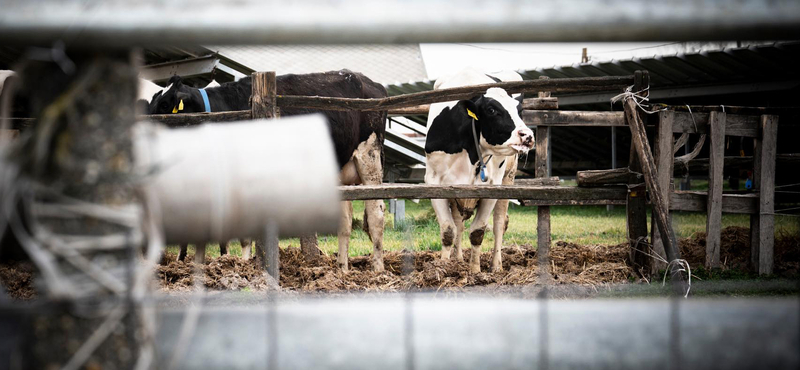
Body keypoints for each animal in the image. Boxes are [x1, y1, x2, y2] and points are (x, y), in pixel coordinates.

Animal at [150, 70, 390, 272]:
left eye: (165, 105)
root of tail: (370, 82)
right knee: (346, 221)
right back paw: (342, 269)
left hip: (370, 156)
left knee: (376, 213)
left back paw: (378, 269)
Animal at [424, 68, 532, 272]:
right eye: (492, 110)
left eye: (519, 110)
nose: (527, 136)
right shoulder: (435, 184)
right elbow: (448, 231)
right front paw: (443, 267)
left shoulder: (491, 188)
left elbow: (478, 231)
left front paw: (475, 271)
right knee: (459, 223)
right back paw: (458, 259)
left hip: (508, 178)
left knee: (499, 223)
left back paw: (496, 266)